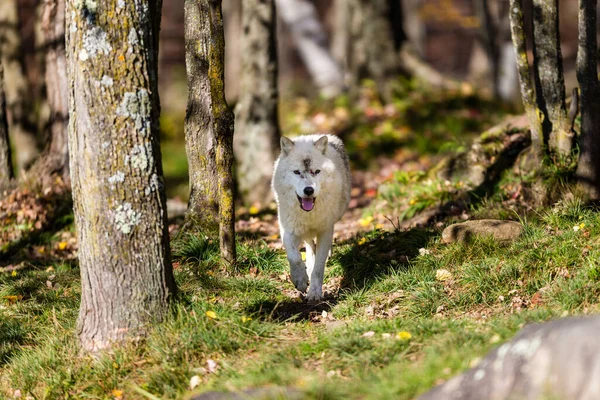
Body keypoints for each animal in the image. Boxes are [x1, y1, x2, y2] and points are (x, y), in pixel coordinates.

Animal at [272, 134, 352, 300]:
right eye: (296, 172)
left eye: (316, 171)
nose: (308, 190)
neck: (309, 215)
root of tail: (310, 136)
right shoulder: (288, 230)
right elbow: (294, 256)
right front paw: (300, 279)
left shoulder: (325, 230)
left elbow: (319, 267)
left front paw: (314, 293)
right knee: (308, 243)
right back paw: (308, 264)